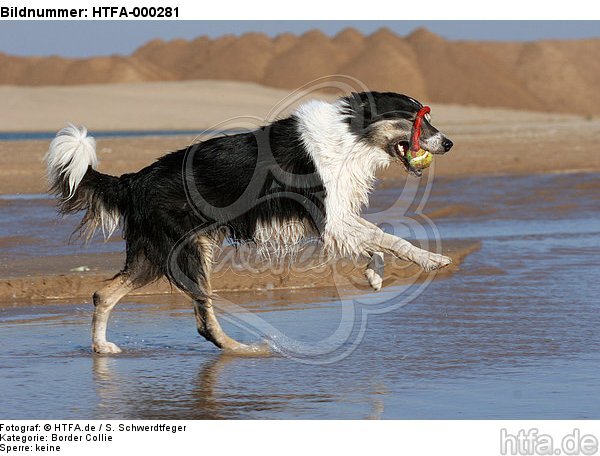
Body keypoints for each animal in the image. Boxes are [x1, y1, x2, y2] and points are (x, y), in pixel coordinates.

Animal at [45, 91, 450, 354]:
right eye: (416, 118)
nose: (448, 144)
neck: (352, 134)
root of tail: (134, 180)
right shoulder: (330, 217)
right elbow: (388, 237)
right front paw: (431, 260)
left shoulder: (337, 219)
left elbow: (375, 241)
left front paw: (374, 275)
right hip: (187, 252)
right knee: (203, 320)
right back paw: (246, 349)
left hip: (153, 256)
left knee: (103, 293)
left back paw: (101, 348)